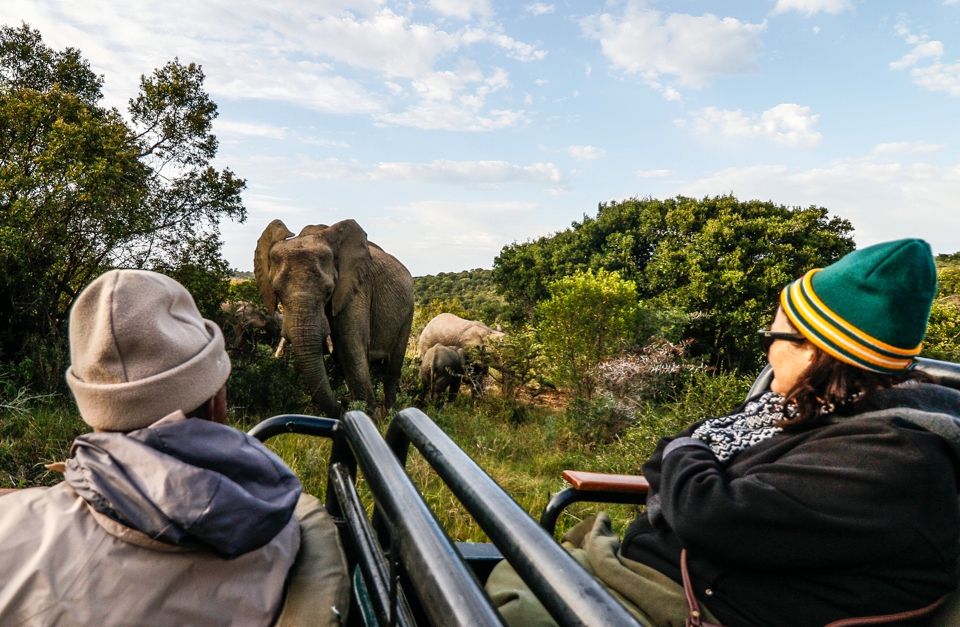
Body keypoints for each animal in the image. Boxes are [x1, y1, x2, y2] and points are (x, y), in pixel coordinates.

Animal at [256, 218, 414, 420]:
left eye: (329, 291)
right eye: (277, 293)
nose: (343, 404)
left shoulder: (355, 291)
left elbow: (351, 347)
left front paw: (368, 418)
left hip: (408, 312)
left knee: (392, 369)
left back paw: (389, 416)